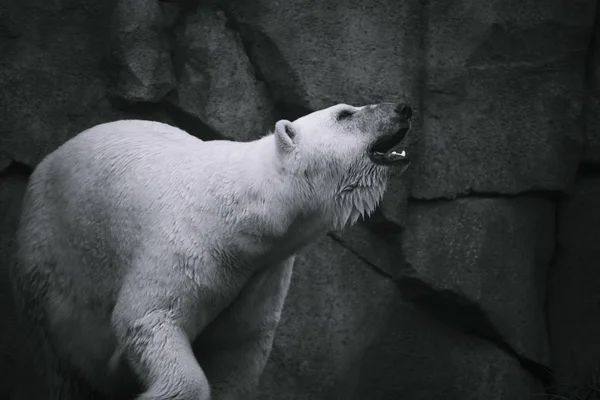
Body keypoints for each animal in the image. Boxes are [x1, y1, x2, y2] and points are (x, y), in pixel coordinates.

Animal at [9, 102, 412, 400]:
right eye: (345, 113)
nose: (403, 108)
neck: (251, 209)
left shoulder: (261, 277)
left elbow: (236, 349)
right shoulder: (191, 246)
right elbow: (149, 317)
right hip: (49, 259)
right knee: (59, 362)